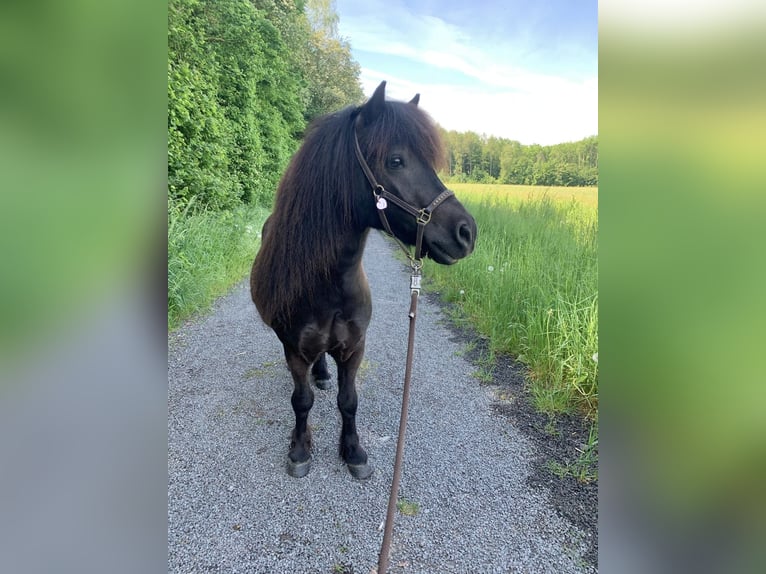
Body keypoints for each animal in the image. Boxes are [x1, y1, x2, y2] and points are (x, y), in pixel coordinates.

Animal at [252, 82, 476, 482]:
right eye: (396, 161)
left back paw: (324, 374)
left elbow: (349, 401)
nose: (467, 232)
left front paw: (354, 451)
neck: (329, 288)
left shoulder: (355, 347)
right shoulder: (294, 349)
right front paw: (299, 450)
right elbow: (301, 400)